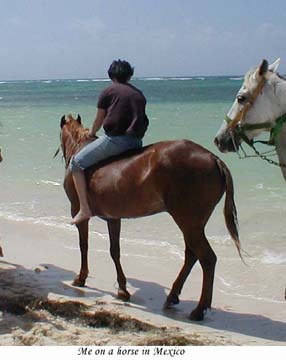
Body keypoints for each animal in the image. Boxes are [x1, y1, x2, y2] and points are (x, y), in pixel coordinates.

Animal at [59, 114, 240, 320]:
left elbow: (84, 246)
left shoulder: (78, 211)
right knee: (192, 255)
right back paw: (172, 297)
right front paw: (122, 289)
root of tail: (214, 158)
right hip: (192, 224)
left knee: (207, 259)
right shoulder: (113, 218)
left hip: (188, 222)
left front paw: (81, 277)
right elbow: (115, 251)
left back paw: (198, 309)